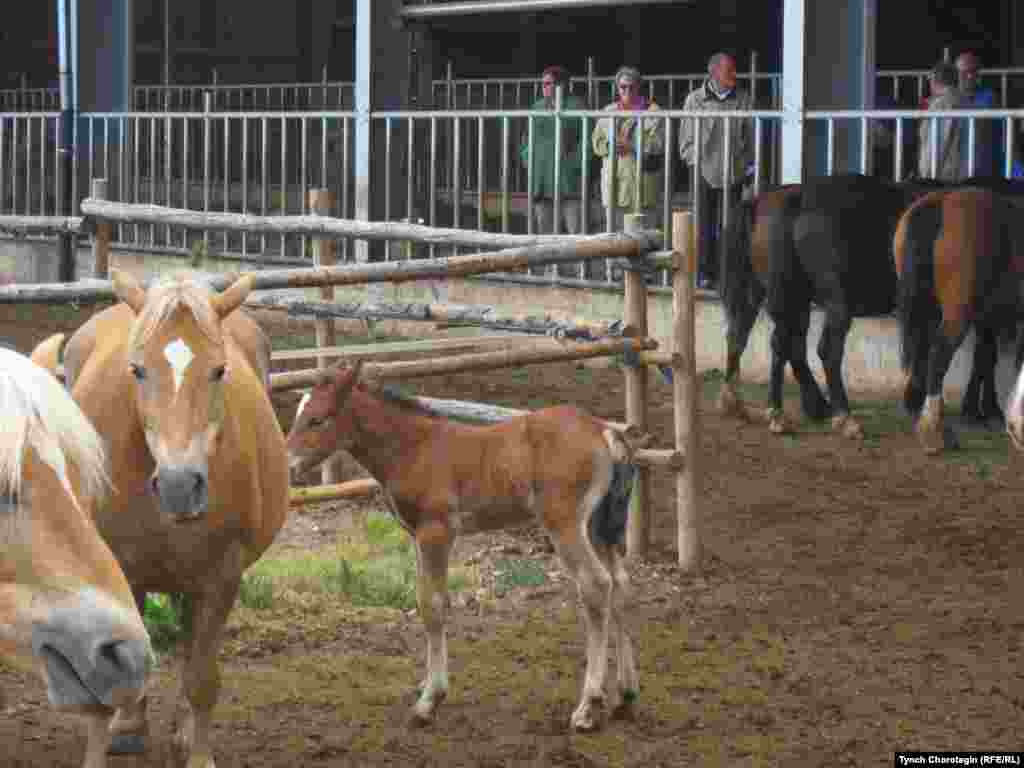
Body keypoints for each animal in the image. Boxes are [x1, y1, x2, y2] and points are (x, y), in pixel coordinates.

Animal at [33, 272, 288, 768]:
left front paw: (198, 753)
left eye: (219, 370)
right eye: (137, 370)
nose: (178, 485)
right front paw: (120, 729)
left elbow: (202, 676)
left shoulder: (220, 577)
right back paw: (130, 725)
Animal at [284, 360, 643, 733]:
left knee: (596, 584)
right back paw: (626, 695)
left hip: (565, 524)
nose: (288, 465)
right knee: (620, 585)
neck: (413, 448)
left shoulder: (436, 531)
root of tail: (603, 431)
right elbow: (431, 599)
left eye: (317, 419)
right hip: (598, 527)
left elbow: (432, 605)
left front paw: (429, 700)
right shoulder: (417, 536)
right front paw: (428, 686)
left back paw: (588, 706)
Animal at [892, 188, 1019, 454]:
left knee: (922, 348)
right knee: (939, 354)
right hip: (956, 314)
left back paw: (915, 404)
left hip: (929, 309)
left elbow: (985, 357)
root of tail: (942, 200)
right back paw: (934, 429)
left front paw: (982, 410)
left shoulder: (986, 319)